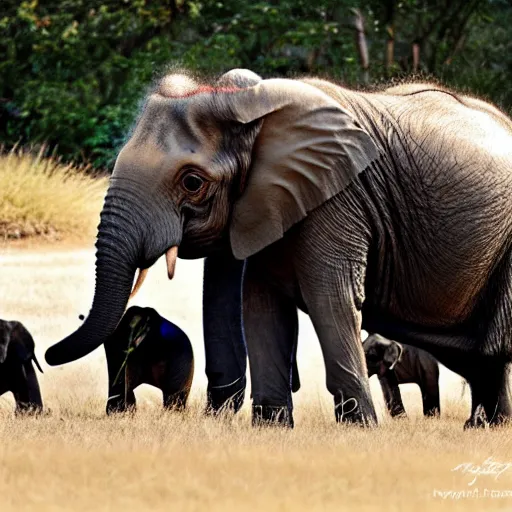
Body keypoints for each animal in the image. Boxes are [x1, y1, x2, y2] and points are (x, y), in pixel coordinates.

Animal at [43, 67, 512, 428]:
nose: (48, 354)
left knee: (492, 346)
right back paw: (486, 427)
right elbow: (262, 304)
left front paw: (360, 428)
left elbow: (330, 297)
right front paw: (271, 427)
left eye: (192, 182)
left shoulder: (339, 199)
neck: (252, 111)